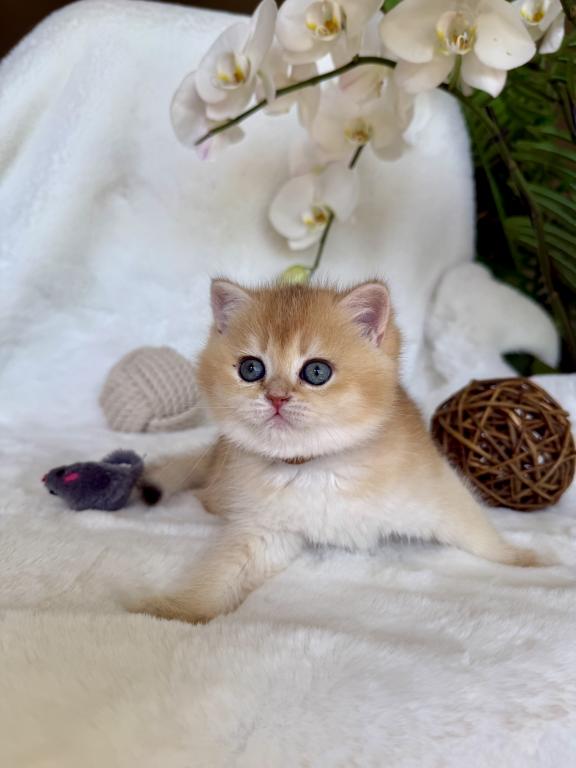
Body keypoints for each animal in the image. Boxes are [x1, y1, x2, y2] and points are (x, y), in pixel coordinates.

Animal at [135, 278, 544, 624]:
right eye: (251, 369)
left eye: (317, 372)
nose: (277, 397)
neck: (317, 468)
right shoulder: (264, 531)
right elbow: (221, 576)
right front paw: (173, 612)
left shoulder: (433, 491)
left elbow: (475, 529)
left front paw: (528, 560)